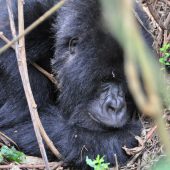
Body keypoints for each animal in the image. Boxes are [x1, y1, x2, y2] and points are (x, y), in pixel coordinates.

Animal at [0, 0, 152, 169]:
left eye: (126, 83)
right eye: (105, 80)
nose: (116, 106)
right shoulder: (15, 44)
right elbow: (18, 125)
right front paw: (126, 136)